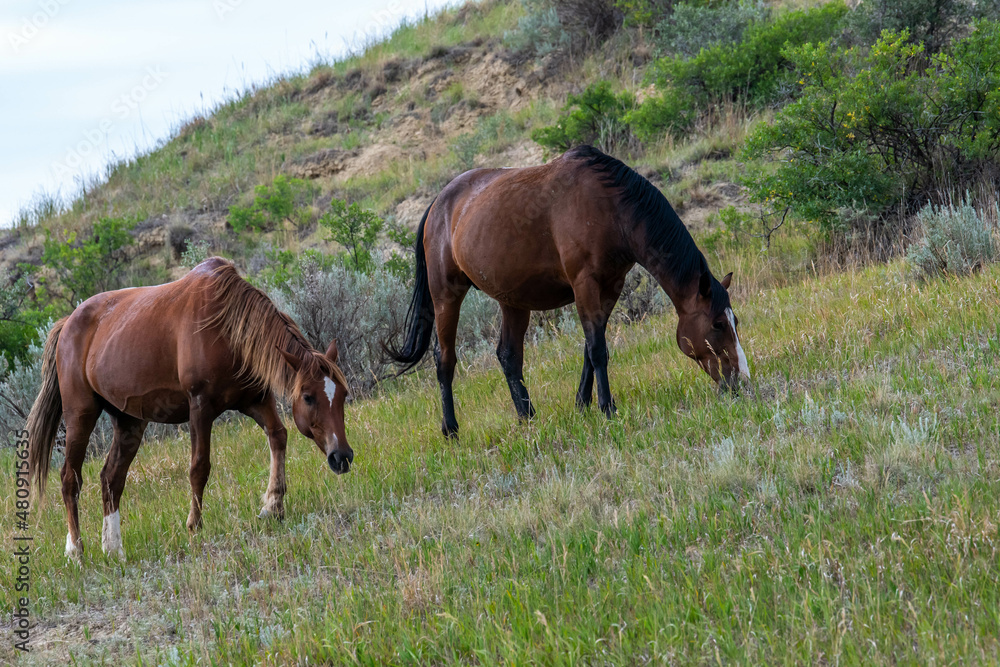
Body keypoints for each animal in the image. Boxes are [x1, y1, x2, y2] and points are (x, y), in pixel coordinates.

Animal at [25, 258, 354, 560]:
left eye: (342, 395)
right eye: (309, 397)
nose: (342, 457)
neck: (226, 327)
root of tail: (67, 323)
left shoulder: (255, 400)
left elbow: (278, 436)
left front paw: (272, 506)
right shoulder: (200, 407)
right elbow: (199, 467)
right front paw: (194, 526)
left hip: (129, 422)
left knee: (111, 478)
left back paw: (114, 549)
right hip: (80, 414)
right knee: (70, 479)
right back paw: (76, 552)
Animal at [388, 145, 752, 438]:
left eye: (736, 322)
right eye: (718, 324)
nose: (742, 381)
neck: (611, 209)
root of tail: (439, 202)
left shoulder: (609, 287)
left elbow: (590, 348)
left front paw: (582, 404)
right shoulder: (585, 284)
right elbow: (598, 350)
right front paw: (607, 408)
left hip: (512, 301)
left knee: (508, 356)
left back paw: (527, 417)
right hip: (446, 296)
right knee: (445, 360)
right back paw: (451, 429)